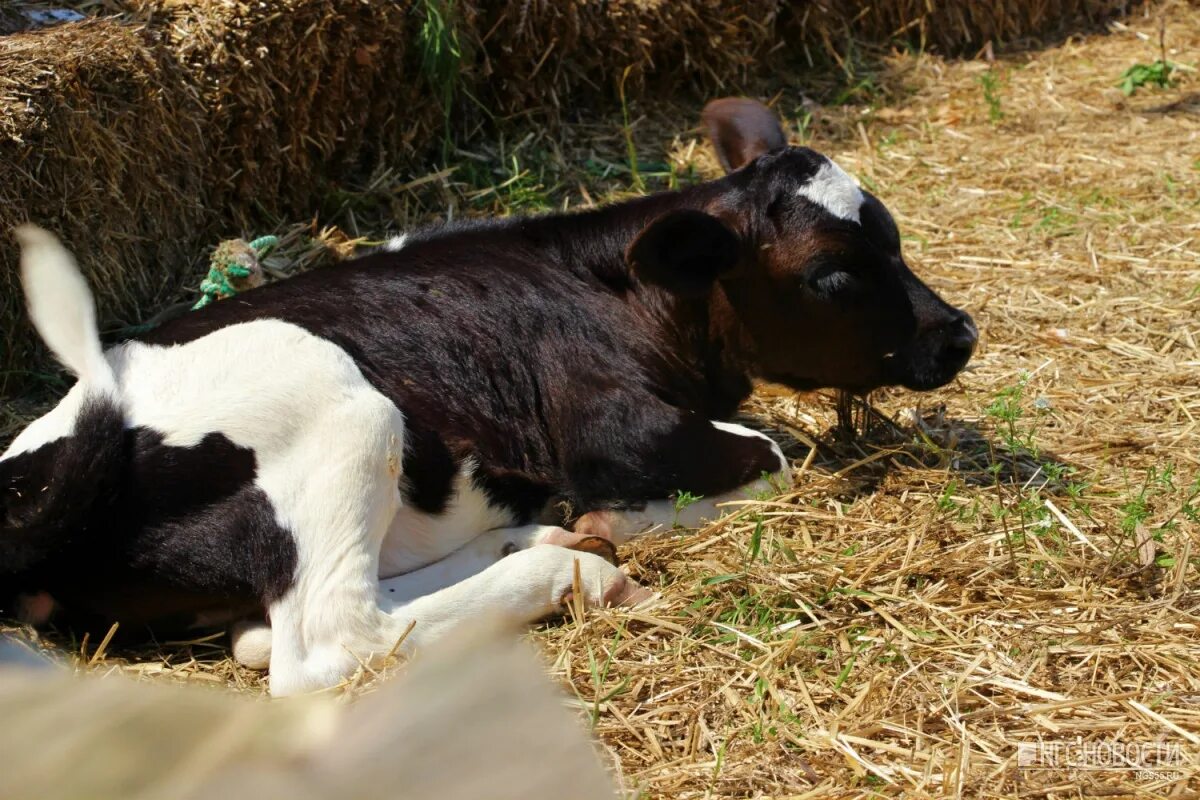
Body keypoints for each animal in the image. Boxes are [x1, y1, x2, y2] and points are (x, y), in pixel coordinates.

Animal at [0, 100, 974, 695]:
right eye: (833, 274)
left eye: (894, 236)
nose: (958, 334)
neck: (617, 287)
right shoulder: (611, 427)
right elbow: (767, 455)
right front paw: (624, 518)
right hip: (349, 406)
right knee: (330, 642)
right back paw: (571, 566)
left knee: (275, 628)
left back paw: (530, 538)